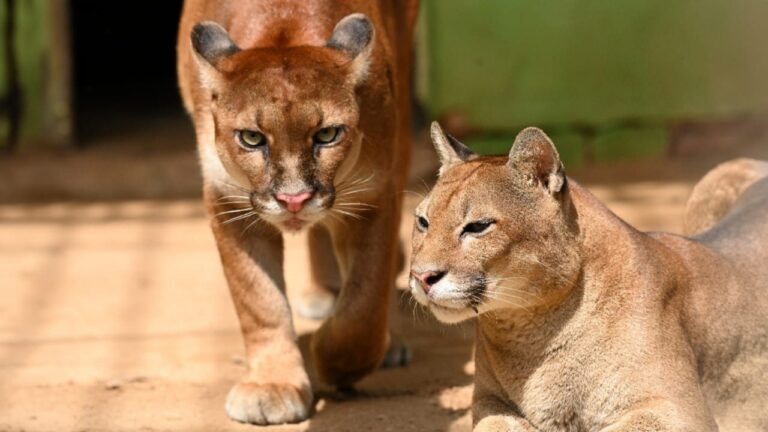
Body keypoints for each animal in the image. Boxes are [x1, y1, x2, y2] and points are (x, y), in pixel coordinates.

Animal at [176, 0, 418, 425]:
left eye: (327, 134)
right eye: (251, 138)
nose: (294, 199)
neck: (283, 27)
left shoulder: (373, 196)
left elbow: (364, 307)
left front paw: (333, 362)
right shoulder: (228, 202)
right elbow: (259, 300)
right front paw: (272, 385)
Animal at [409, 122, 768, 431]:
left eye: (478, 226)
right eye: (423, 221)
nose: (421, 276)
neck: (529, 331)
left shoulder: (676, 410)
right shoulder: (489, 400)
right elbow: (495, 426)